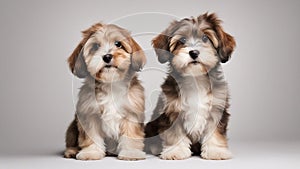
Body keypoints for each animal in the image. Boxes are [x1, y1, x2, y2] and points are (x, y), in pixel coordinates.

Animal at [64, 23, 146, 160]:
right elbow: (91, 136)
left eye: (118, 44)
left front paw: (130, 152)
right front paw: (91, 152)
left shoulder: (131, 113)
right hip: (72, 128)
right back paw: (71, 151)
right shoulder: (89, 114)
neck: (110, 84)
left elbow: (130, 135)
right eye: (96, 46)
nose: (107, 56)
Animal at [145, 13, 237, 160]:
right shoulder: (172, 110)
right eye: (182, 40)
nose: (194, 52)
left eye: (205, 38)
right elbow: (174, 133)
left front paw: (216, 151)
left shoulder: (217, 109)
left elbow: (215, 132)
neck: (196, 78)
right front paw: (176, 151)